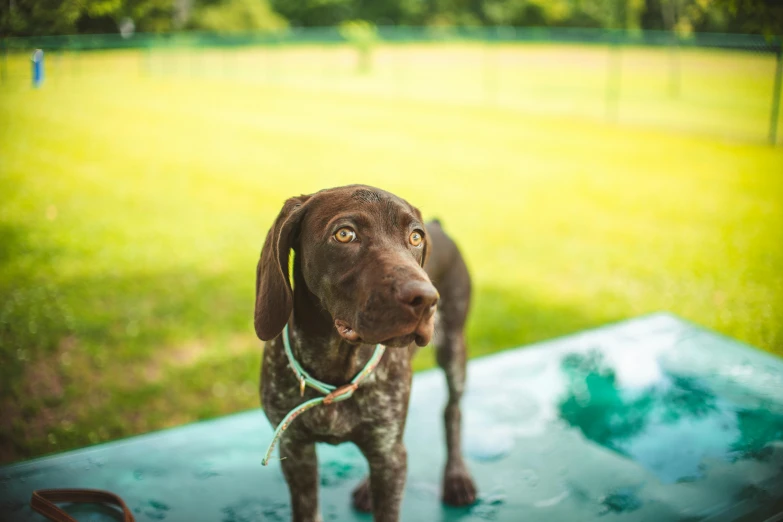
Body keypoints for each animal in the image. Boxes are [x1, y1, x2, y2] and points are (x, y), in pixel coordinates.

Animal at [256, 185, 478, 516]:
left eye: (415, 237)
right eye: (345, 234)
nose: (426, 299)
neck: (336, 365)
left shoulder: (389, 456)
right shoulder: (296, 453)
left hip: (453, 351)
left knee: (452, 411)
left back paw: (456, 477)